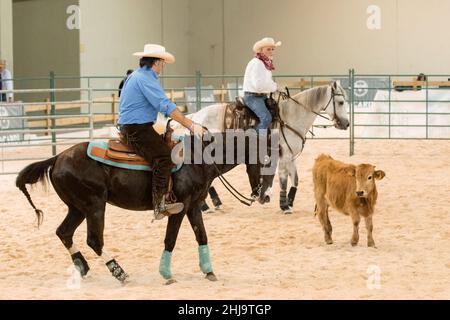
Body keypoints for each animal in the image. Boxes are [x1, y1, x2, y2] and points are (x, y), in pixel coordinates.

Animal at [15, 132, 274, 282]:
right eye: (267, 160)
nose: (265, 195)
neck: (198, 159)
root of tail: (57, 157)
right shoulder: (179, 208)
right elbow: (171, 239)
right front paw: (166, 273)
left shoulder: (194, 207)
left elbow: (202, 236)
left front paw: (208, 270)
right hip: (94, 205)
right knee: (94, 240)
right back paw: (118, 272)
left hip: (78, 208)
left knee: (64, 233)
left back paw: (82, 266)